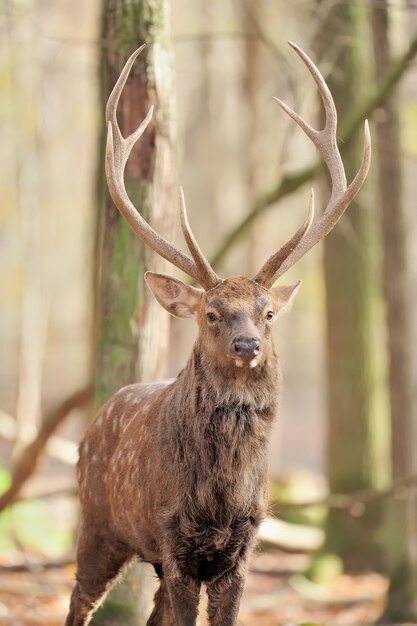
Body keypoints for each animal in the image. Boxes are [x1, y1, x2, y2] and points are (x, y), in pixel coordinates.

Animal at [66, 41, 370, 620]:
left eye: (267, 312)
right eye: (211, 312)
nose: (247, 343)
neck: (221, 497)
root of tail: (94, 421)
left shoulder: (244, 545)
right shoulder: (173, 536)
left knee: (150, 613)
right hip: (98, 523)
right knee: (78, 603)